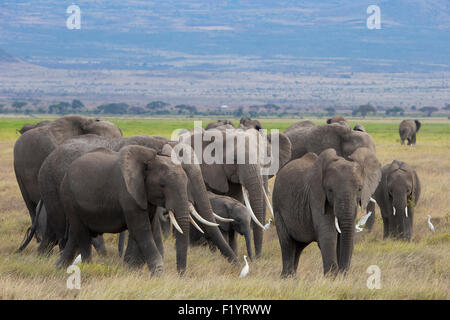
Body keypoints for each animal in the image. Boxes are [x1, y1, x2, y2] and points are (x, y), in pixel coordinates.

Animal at [272, 148, 382, 276]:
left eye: (360, 188)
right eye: (330, 190)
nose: (342, 272)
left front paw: (338, 276)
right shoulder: (316, 197)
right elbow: (328, 233)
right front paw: (332, 276)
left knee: (298, 245)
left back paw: (293, 277)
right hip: (277, 206)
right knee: (287, 243)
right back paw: (287, 277)